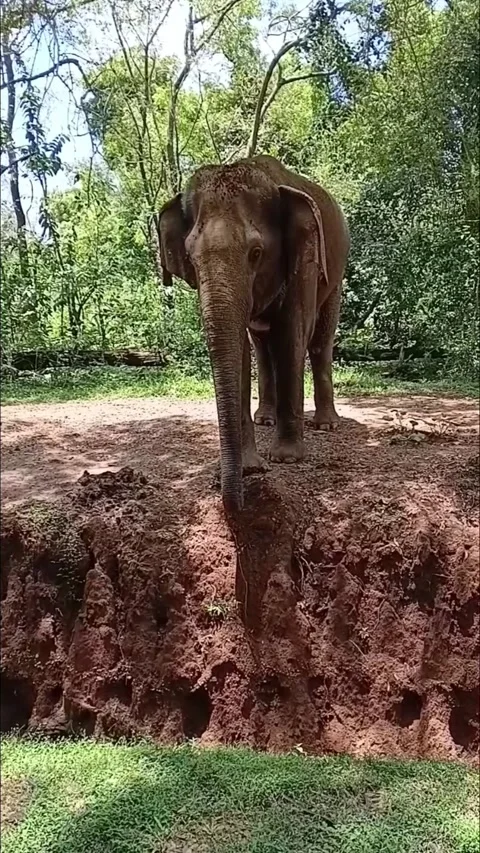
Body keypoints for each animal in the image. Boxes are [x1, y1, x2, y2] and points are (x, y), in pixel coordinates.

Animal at [157, 154, 350, 513]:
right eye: (190, 257)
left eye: (256, 253)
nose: (237, 501)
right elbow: (241, 351)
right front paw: (250, 465)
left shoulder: (305, 258)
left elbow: (292, 333)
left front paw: (286, 459)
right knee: (261, 345)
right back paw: (265, 419)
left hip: (337, 274)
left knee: (320, 341)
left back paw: (326, 424)